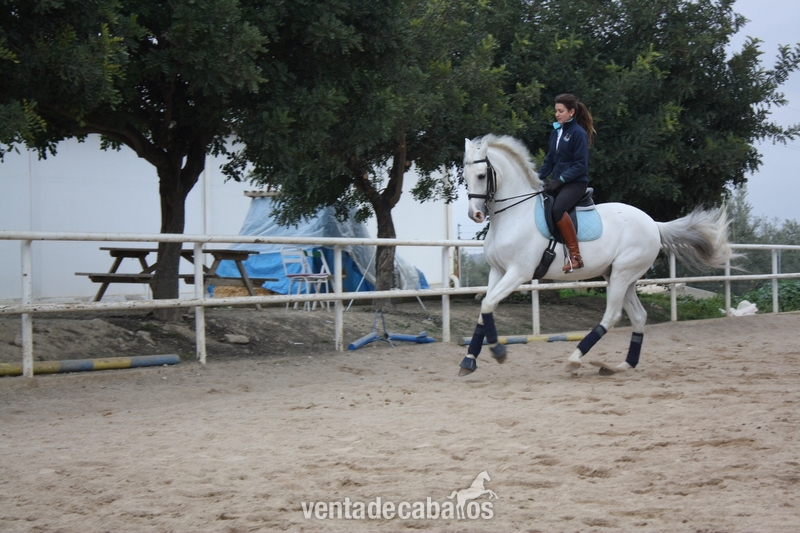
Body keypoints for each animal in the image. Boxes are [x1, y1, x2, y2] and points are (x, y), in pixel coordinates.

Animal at [460, 134, 733, 376]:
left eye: (482, 175)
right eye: (465, 176)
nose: (475, 214)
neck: (514, 214)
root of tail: (653, 224)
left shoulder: (518, 272)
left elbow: (488, 304)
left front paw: (498, 351)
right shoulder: (497, 271)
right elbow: (485, 308)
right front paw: (469, 360)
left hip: (623, 274)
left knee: (612, 316)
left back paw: (575, 359)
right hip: (619, 276)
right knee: (638, 316)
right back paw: (621, 366)